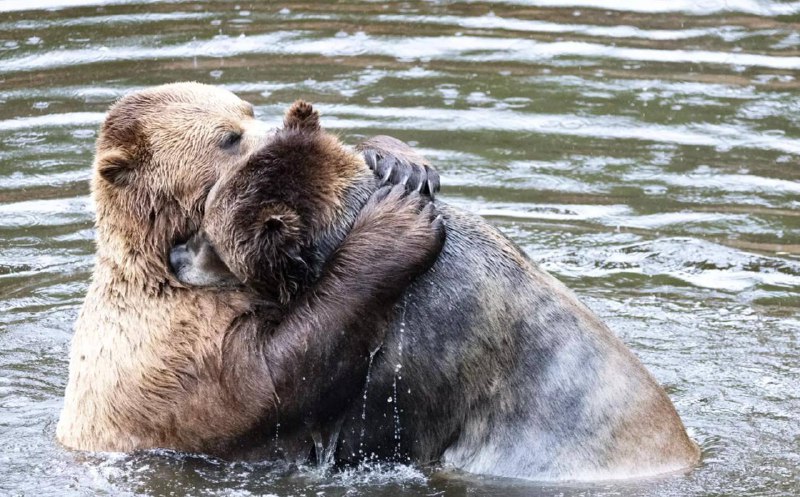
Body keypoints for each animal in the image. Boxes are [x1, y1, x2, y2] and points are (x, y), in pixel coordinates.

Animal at [56, 82, 444, 458]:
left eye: (248, 110)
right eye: (228, 137)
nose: (276, 131)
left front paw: (400, 162)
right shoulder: (177, 350)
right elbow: (274, 382)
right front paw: (397, 225)